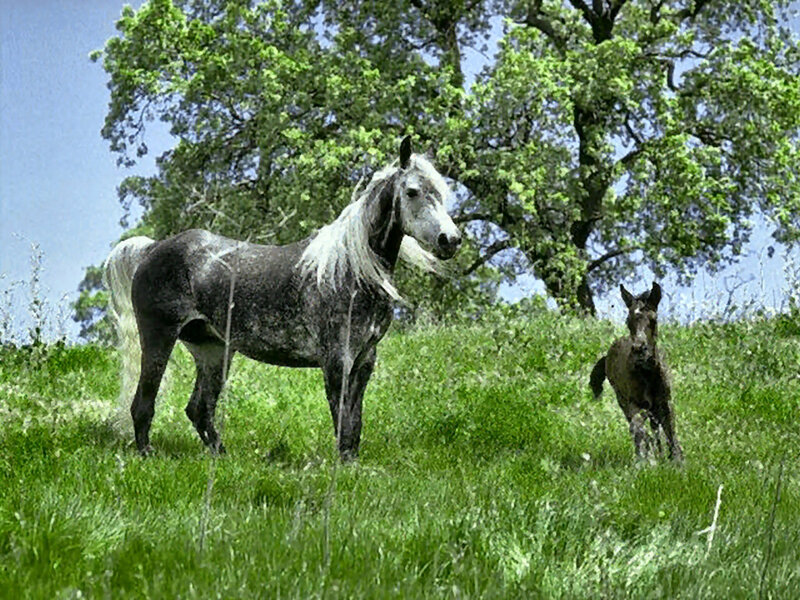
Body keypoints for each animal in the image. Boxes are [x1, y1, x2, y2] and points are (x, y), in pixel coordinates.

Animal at [104, 137, 462, 460]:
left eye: (441, 193)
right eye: (412, 191)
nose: (451, 240)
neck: (350, 268)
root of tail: (152, 248)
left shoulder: (364, 360)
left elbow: (354, 423)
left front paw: (353, 464)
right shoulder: (337, 359)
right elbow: (341, 420)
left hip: (213, 350)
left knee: (199, 409)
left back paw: (222, 457)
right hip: (159, 339)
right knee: (143, 404)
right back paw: (147, 454)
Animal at [589, 282, 684, 463]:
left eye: (653, 319)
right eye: (628, 321)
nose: (639, 350)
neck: (648, 376)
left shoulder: (665, 403)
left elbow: (671, 432)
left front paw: (676, 460)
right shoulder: (632, 403)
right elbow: (638, 430)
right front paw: (646, 460)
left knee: (654, 428)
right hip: (624, 400)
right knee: (638, 428)